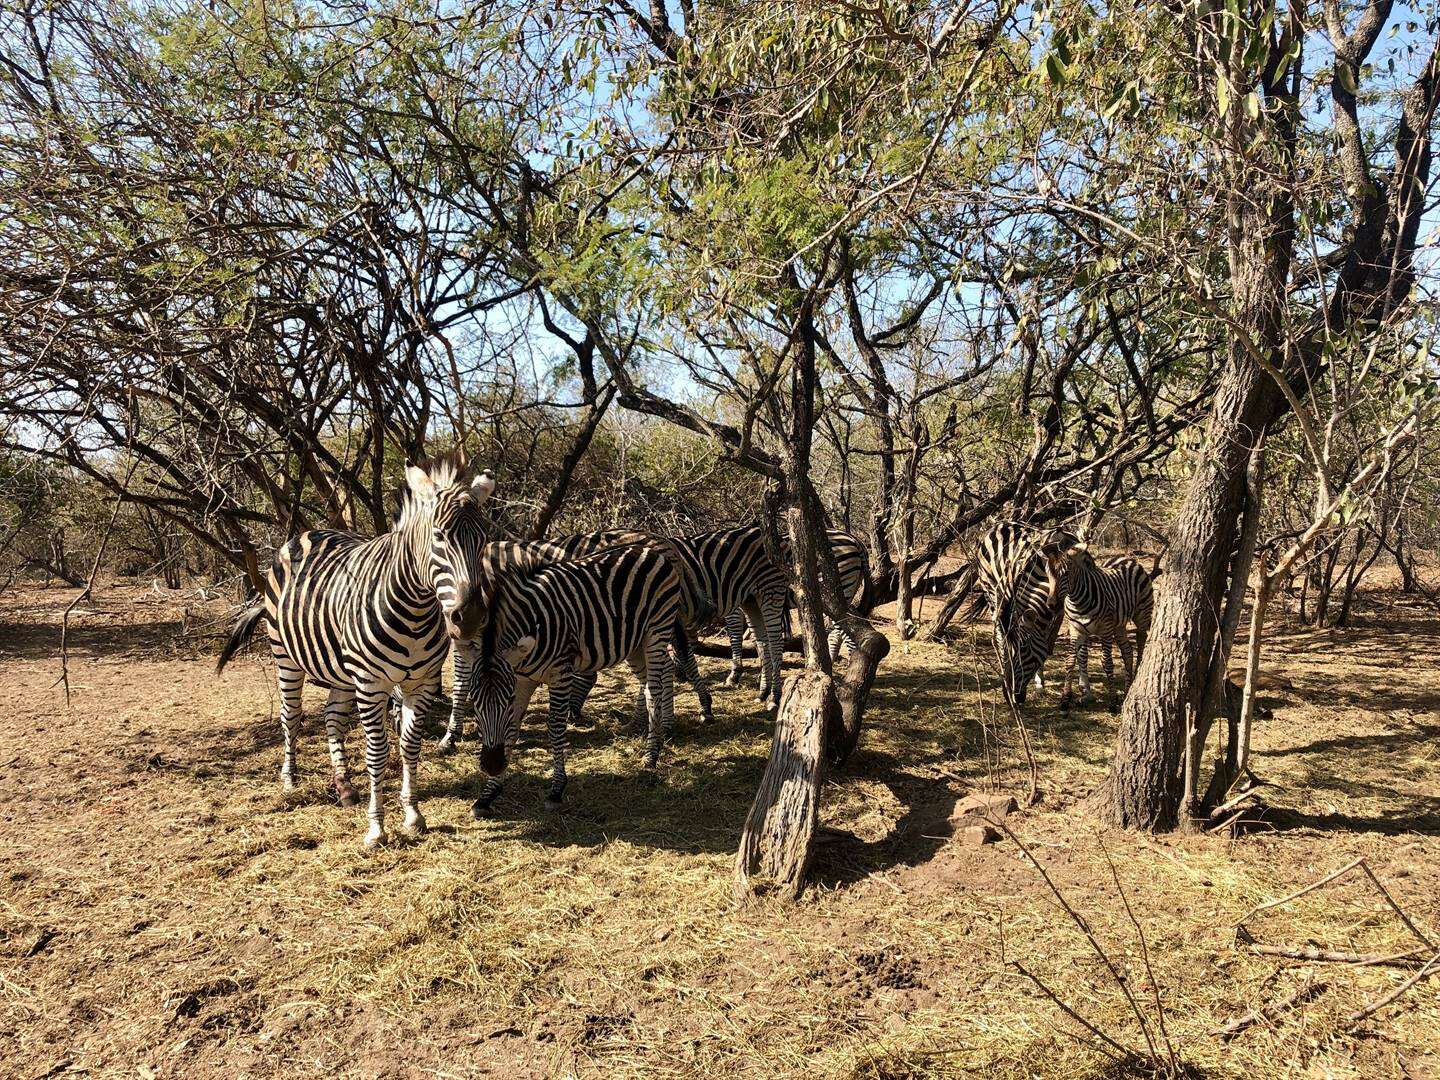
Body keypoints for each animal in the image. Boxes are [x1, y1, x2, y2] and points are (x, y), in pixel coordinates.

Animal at [213, 452, 495, 852]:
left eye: (484, 539)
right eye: (439, 536)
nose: (469, 617)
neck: (416, 608)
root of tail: (306, 533)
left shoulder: (421, 684)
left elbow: (409, 746)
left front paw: (413, 816)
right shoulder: (371, 685)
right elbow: (377, 753)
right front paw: (377, 829)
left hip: (340, 670)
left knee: (332, 718)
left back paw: (344, 786)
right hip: (287, 658)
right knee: (291, 717)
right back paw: (290, 779)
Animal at [463, 538, 682, 817]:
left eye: (508, 699)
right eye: (473, 702)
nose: (492, 764)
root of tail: (649, 549)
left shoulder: (561, 672)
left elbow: (555, 726)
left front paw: (557, 789)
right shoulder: (521, 678)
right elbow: (511, 727)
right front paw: (488, 794)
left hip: (657, 629)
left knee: (654, 688)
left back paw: (652, 754)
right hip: (634, 642)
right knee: (662, 671)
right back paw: (661, 729)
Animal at [720, 529, 864, 688]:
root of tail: (853, 539)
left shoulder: (735, 601)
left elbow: (736, 636)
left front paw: (734, 675)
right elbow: (758, 638)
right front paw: (763, 675)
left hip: (837, 589)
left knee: (848, 634)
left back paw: (852, 676)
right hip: (842, 595)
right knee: (837, 633)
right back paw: (828, 670)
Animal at [979, 524, 1071, 711]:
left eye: (1024, 650)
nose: (1011, 697)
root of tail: (997, 525)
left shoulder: (1062, 611)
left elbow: (1049, 644)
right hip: (990, 589)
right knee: (998, 633)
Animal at [1048, 538, 1157, 714]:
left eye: (1066, 573)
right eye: (1048, 574)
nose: (1051, 605)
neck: (1077, 600)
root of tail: (1126, 559)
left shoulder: (1105, 629)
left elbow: (1107, 662)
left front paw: (1112, 702)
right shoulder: (1075, 630)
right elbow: (1070, 661)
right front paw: (1065, 701)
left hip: (1142, 613)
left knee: (1141, 640)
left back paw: (1137, 676)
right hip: (1119, 625)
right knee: (1127, 651)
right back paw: (1126, 690)